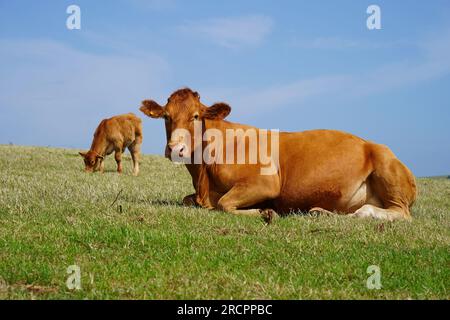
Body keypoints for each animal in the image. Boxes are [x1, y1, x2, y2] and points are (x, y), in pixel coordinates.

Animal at [139, 89, 416, 221]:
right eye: (166, 116)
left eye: (196, 116)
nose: (175, 148)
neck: (203, 179)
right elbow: (189, 200)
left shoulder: (265, 183)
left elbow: (224, 204)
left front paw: (266, 212)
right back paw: (319, 212)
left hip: (387, 169)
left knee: (399, 213)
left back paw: (364, 213)